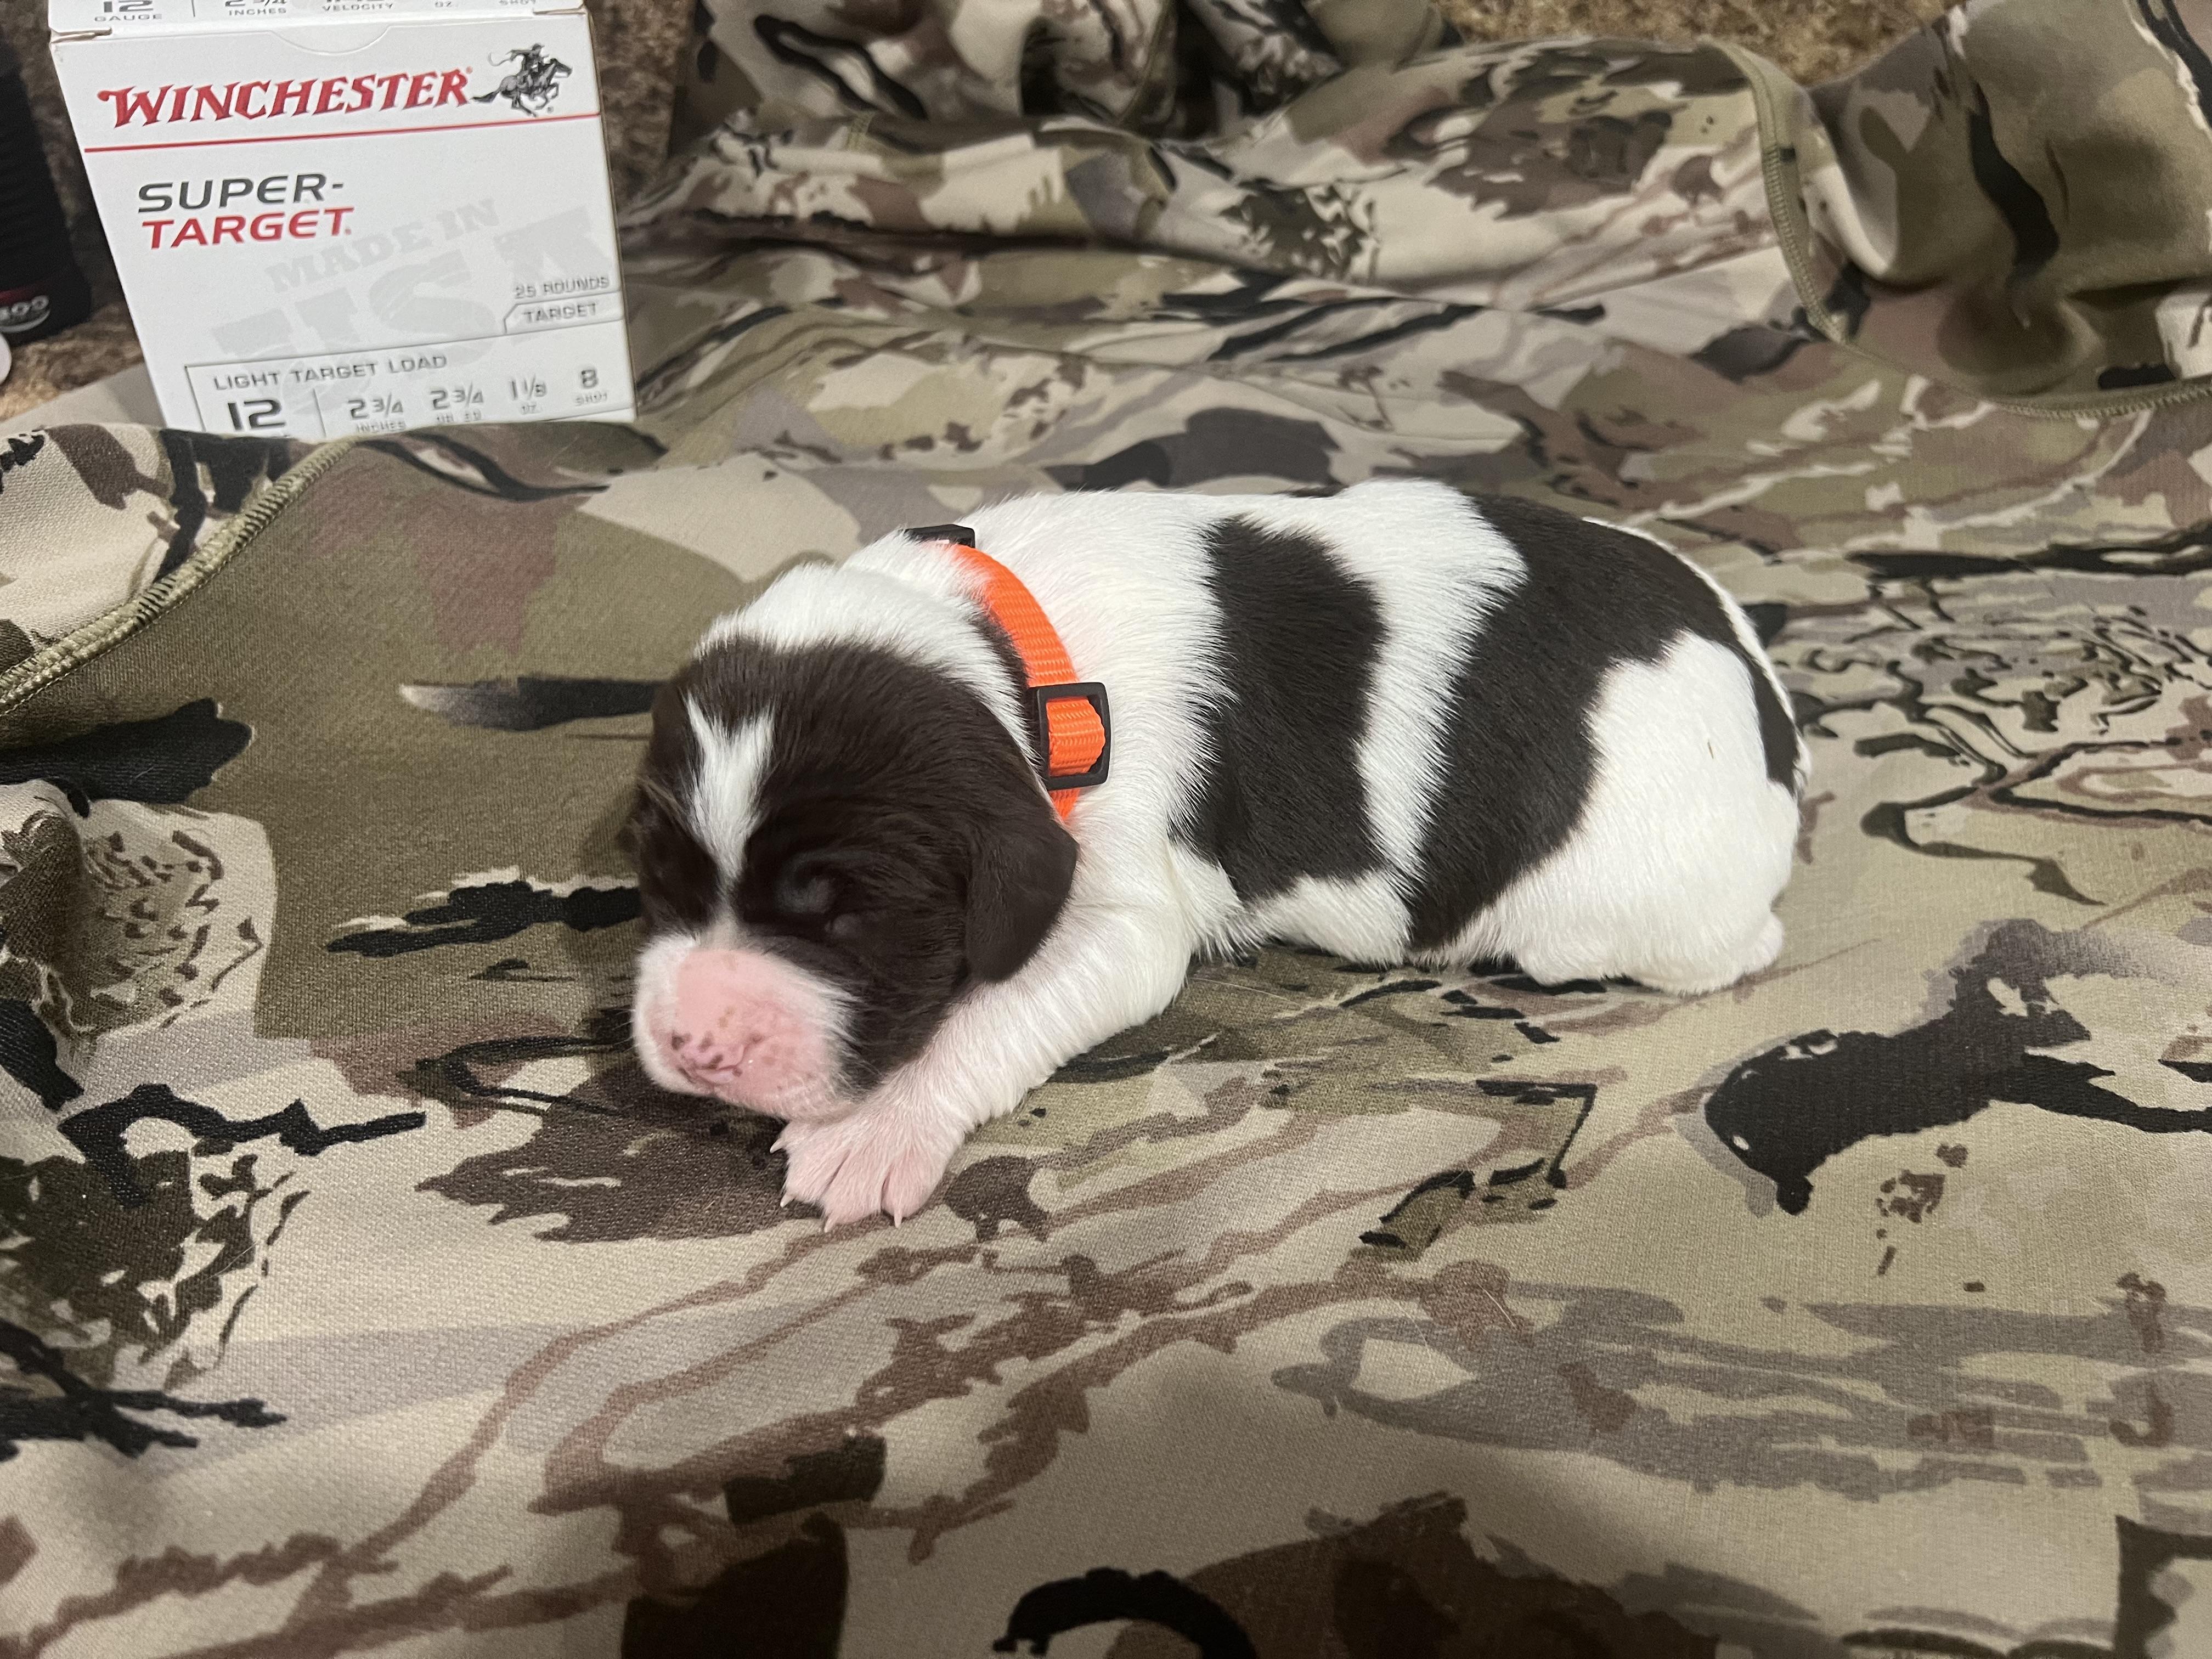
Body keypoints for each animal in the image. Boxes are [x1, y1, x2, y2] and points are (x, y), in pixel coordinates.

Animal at [625, 479, 1807, 1226]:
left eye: (844, 912)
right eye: (658, 880)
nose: (695, 1045)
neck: (1023, 657)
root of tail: (1767, 694)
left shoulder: (1122, 910)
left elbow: (989, 1012)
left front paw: (875, 1128)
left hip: (1612, 912)